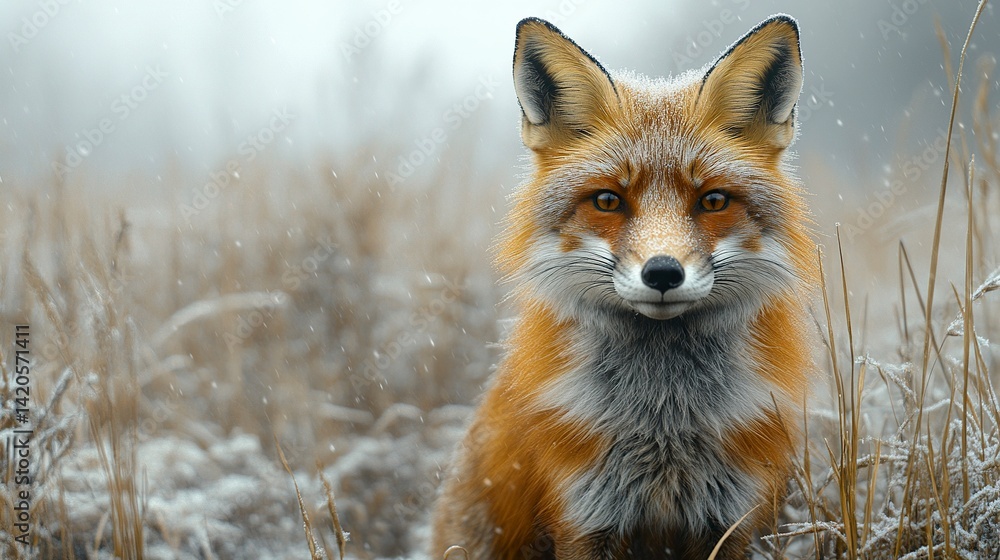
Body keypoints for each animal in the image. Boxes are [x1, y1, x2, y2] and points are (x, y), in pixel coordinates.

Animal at [432, 14, 816, 560]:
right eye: (608, 200)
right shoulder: (583, 516)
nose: (662, 273)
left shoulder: (732, 520)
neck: (664, 422)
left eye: (713, 200)